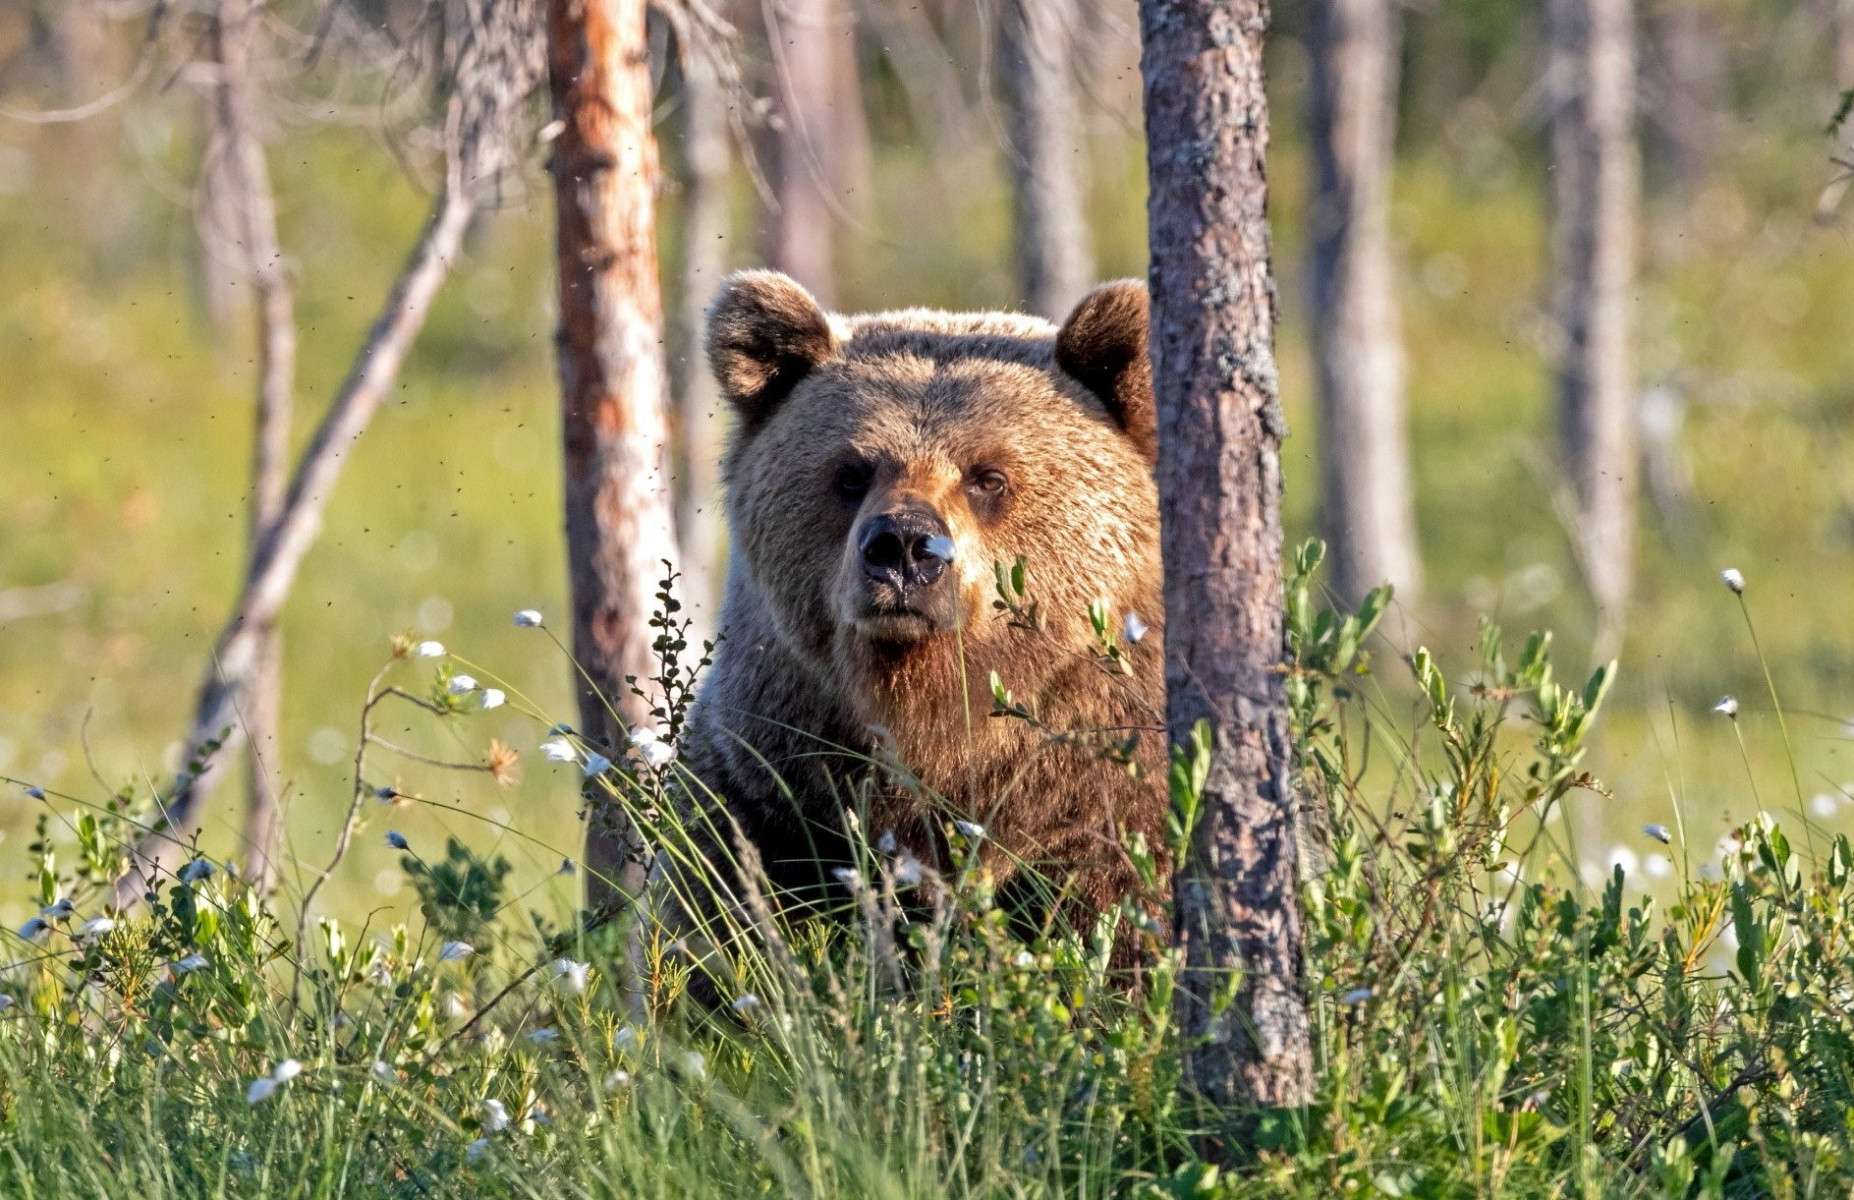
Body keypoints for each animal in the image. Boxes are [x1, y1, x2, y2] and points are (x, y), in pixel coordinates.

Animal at [660, 270, 1164, 957]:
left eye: (988, 476)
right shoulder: (771, 793)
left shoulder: (1108, 800)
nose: (902, 547)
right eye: (851, 471)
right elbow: (717, 923)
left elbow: (1124, 921)